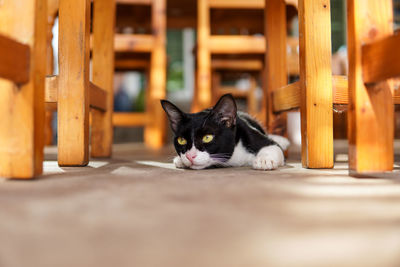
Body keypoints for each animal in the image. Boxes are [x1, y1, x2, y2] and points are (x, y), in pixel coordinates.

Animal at [161, 93, 290, 171]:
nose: (189, 156)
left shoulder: (247, 131)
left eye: (207, 137)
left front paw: (264, 160)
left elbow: (274, 147)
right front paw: (181, 160)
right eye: (181, 140)